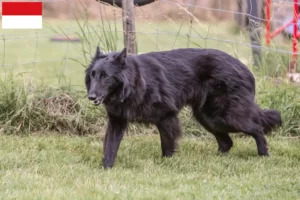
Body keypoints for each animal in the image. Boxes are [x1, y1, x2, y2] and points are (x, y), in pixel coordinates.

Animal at [85, 46, 282, 168]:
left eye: (105, 76)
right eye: (93, 75)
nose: (91, 97)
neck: (135, 83)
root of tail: (245, 69)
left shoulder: (167, 116)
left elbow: (167, 144)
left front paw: (167, 163)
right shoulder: (116, 122)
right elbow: (110, 146)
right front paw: (106, 167)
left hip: (227, 116)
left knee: (257, 128)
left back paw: (263, 154)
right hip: (207, 117)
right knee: (227, 142)